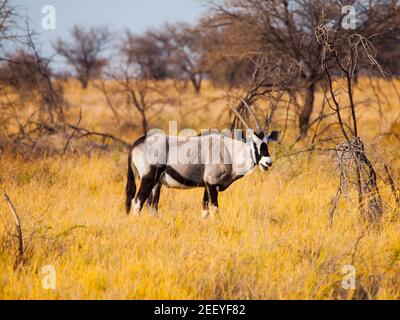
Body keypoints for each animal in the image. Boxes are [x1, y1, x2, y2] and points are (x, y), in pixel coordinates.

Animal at [125, 101, 278, 219]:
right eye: (254, 144)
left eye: (266, 143)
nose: (268, 162)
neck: (230, 151)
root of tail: (137, 144)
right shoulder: (212, 184)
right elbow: (215, 211)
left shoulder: (207, 186)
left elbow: (205, 211)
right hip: (148, 178)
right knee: (137, 203)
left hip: (157, 183)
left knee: (152, 205)